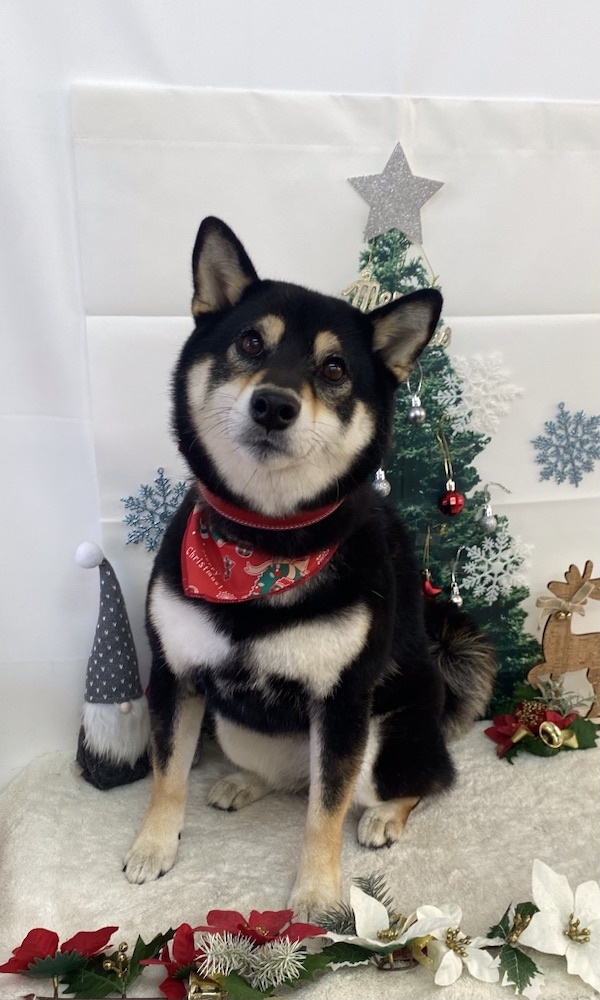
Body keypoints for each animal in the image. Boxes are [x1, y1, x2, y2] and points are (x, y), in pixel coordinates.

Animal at [124, 217, 495, 916]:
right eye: (249, 341)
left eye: (334, 367)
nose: (274, 404)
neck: (262, 545)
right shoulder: (175, 673)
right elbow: (166, 773)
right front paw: (153, 846)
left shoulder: (343, 699)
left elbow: (324, 817)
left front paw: (318, 896)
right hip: (237, 727)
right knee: (296, 783)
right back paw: (245, 783)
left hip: (383, 738)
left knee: (409, 784)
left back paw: (384, 816)